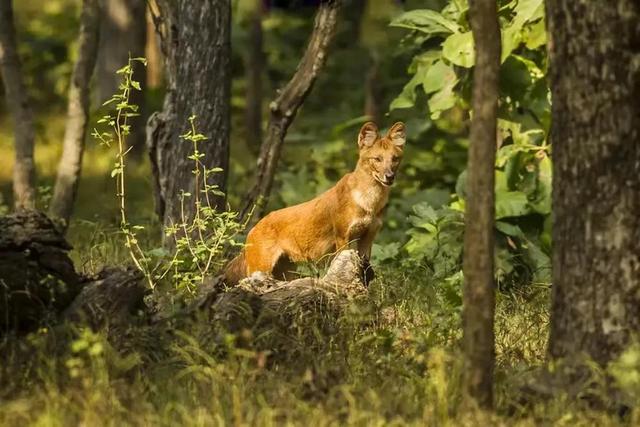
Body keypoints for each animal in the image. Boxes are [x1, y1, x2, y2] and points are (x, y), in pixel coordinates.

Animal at [225, 122, 404, 286]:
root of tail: (253, 228)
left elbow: (365, 272)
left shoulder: (368, 237)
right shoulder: (343, 237)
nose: (390, 176)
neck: (370, 202)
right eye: (377, 159)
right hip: (261, 268)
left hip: (285, 272)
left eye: (395, 159)